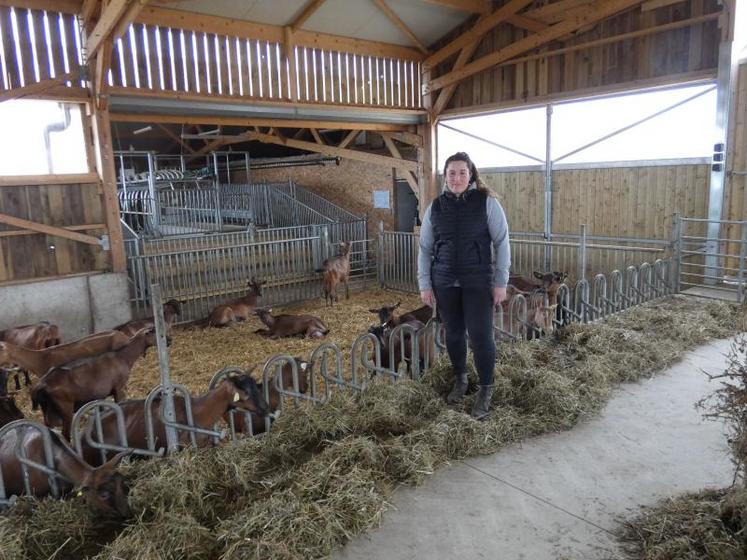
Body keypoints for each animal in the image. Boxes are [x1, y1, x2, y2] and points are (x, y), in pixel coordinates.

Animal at [30, 326, 159, 440]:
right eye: (153, 331)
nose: (164, 340)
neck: (122, 356)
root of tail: (42, 384)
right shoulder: (119, 388)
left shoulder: (101, 396)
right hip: (65, 407)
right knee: (65, 433)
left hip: (47, 408)